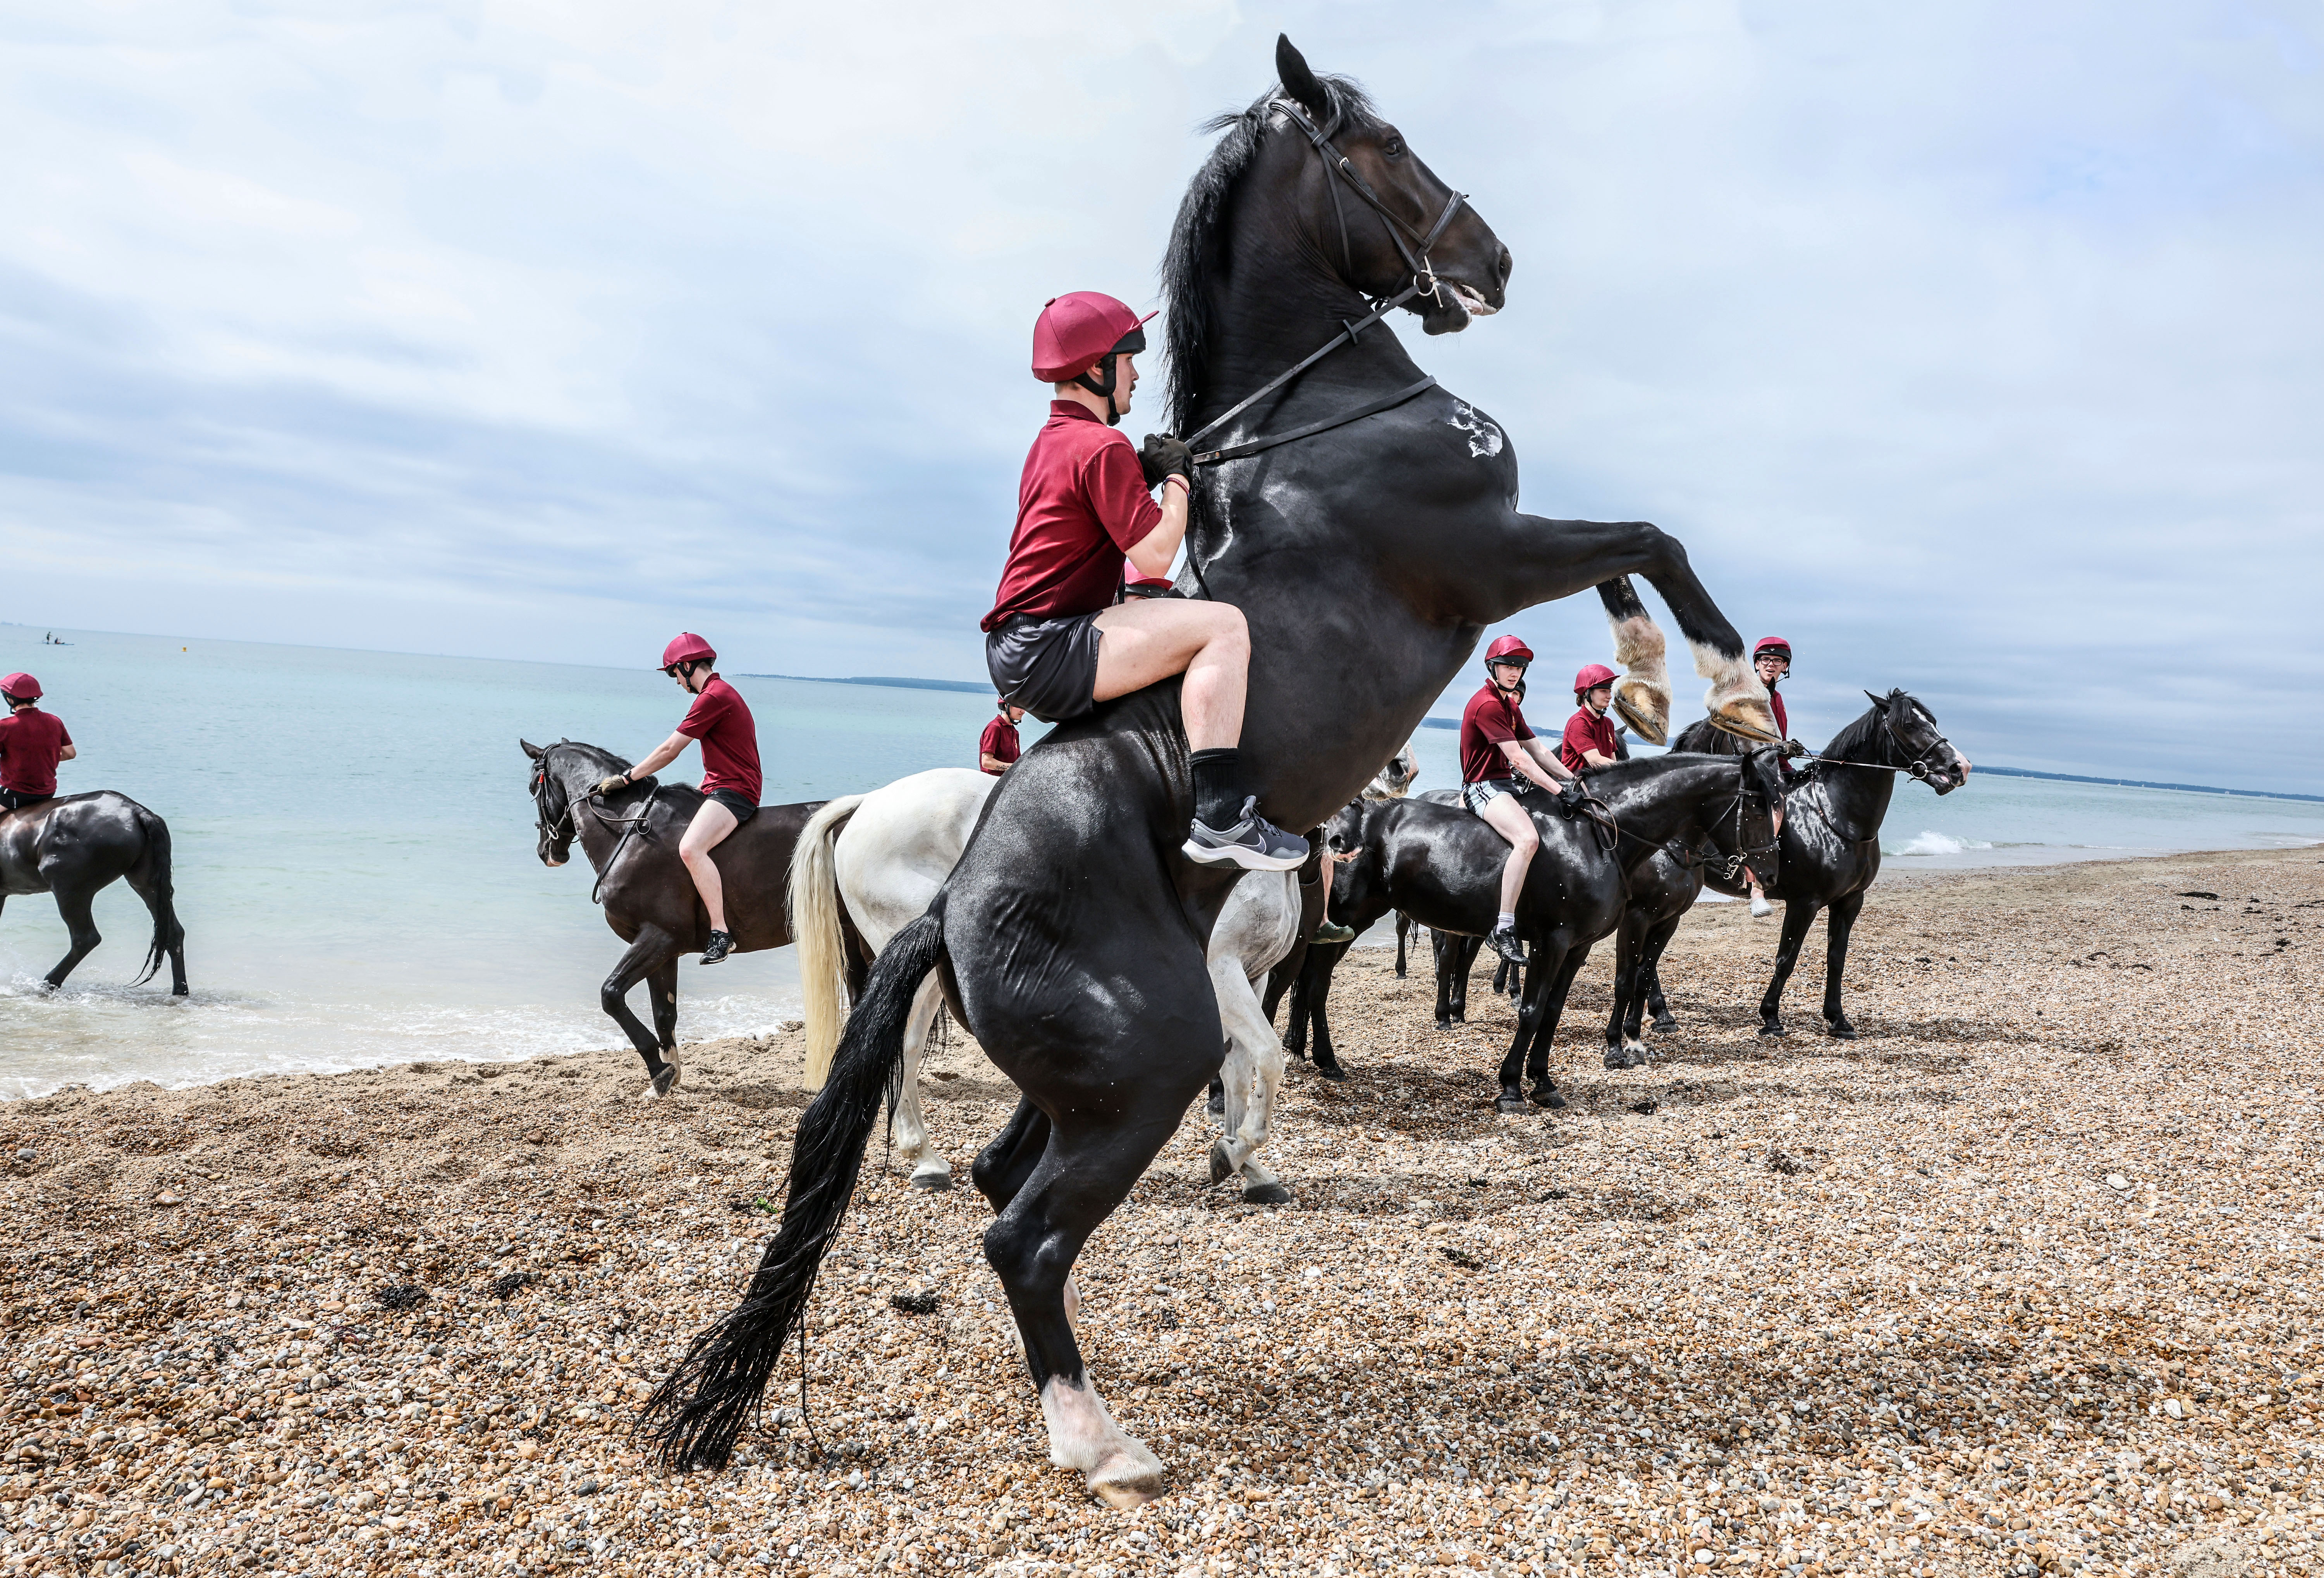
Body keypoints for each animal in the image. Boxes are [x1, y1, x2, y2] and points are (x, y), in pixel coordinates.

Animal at [0, 793, 185, 995]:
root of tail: (138, 813)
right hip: (147, 885)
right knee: (174, 933)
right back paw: (180, 990)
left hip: (70, 890)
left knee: (86, 939)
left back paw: (49, 983)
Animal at [521, 739, 830, 1096]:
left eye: (533, 789)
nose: (547, 852)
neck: (630, 829)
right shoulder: (665, 951)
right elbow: (664, 1013)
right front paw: (669, 1076)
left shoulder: (659, 936)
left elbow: (611, 994)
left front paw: (660, 1070)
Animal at [790, 768, 1304, 1205]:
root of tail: (870, 802)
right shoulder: (1222, 972)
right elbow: (1269, 1057)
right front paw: (1237, 1152)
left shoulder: (1253, 977)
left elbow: (1240, 1073)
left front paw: (1247, 1166)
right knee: (903, 1048)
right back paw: (925, 1160)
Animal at [1291, 752, 1782, 1107]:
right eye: (1759, 805)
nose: (1770, 872)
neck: (1599, 836)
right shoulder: (1555, 940)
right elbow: (1532, 1010)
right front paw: (1511, 1086)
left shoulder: (1578, 947)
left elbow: (1552, 1011)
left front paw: (1544, 1082)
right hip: (1351, 918)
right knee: (1317, 983)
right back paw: (1327, 1057)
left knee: (1315, 982)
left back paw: (1317, 1057)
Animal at [1669, 690, 1968, 1037]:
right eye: (1909, 725)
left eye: (1932, 721)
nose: (1959, 767)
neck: (1834, 814)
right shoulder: (1804, 903)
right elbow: (1786, 958)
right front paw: (1770, 1017)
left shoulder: (1850, 901)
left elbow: (1836, 958)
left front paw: (1837, 1018)